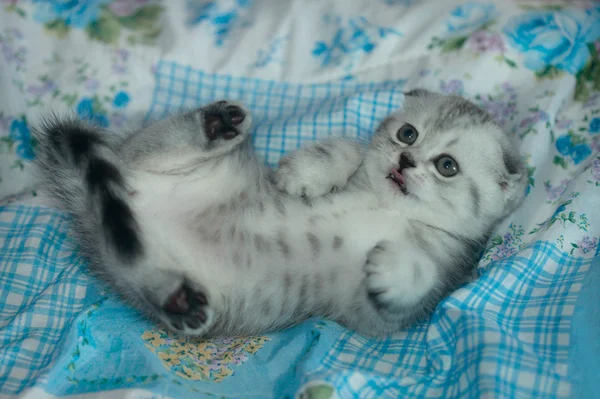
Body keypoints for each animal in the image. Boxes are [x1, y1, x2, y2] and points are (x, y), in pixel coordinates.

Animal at [32, 90, 524, 338]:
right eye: (407, 134)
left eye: (447, 166)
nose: (405, 162)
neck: (390, 208)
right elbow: (350, 149)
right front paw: (305, 173)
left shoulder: (383, 313)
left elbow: (414, 279)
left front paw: (393, 268)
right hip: (172, 164)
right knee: (151, 149)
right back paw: (215, 124)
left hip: (152, 271)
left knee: (147, 279)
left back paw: (179, 299)